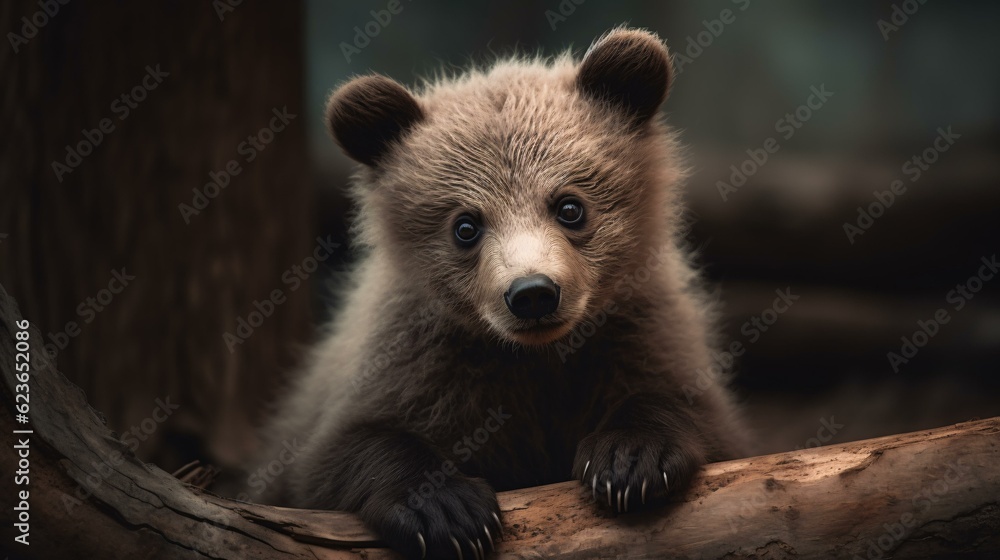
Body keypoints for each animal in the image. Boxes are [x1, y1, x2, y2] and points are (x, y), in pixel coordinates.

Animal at [250, 27, 748, 559]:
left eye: (569, 206)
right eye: (466, 226)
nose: (532, 293)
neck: (535, 357)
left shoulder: (636, 330)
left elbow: (691, 410)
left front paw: (629, 460)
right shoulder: (417, 362)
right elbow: (339, 451)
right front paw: (448, 510)